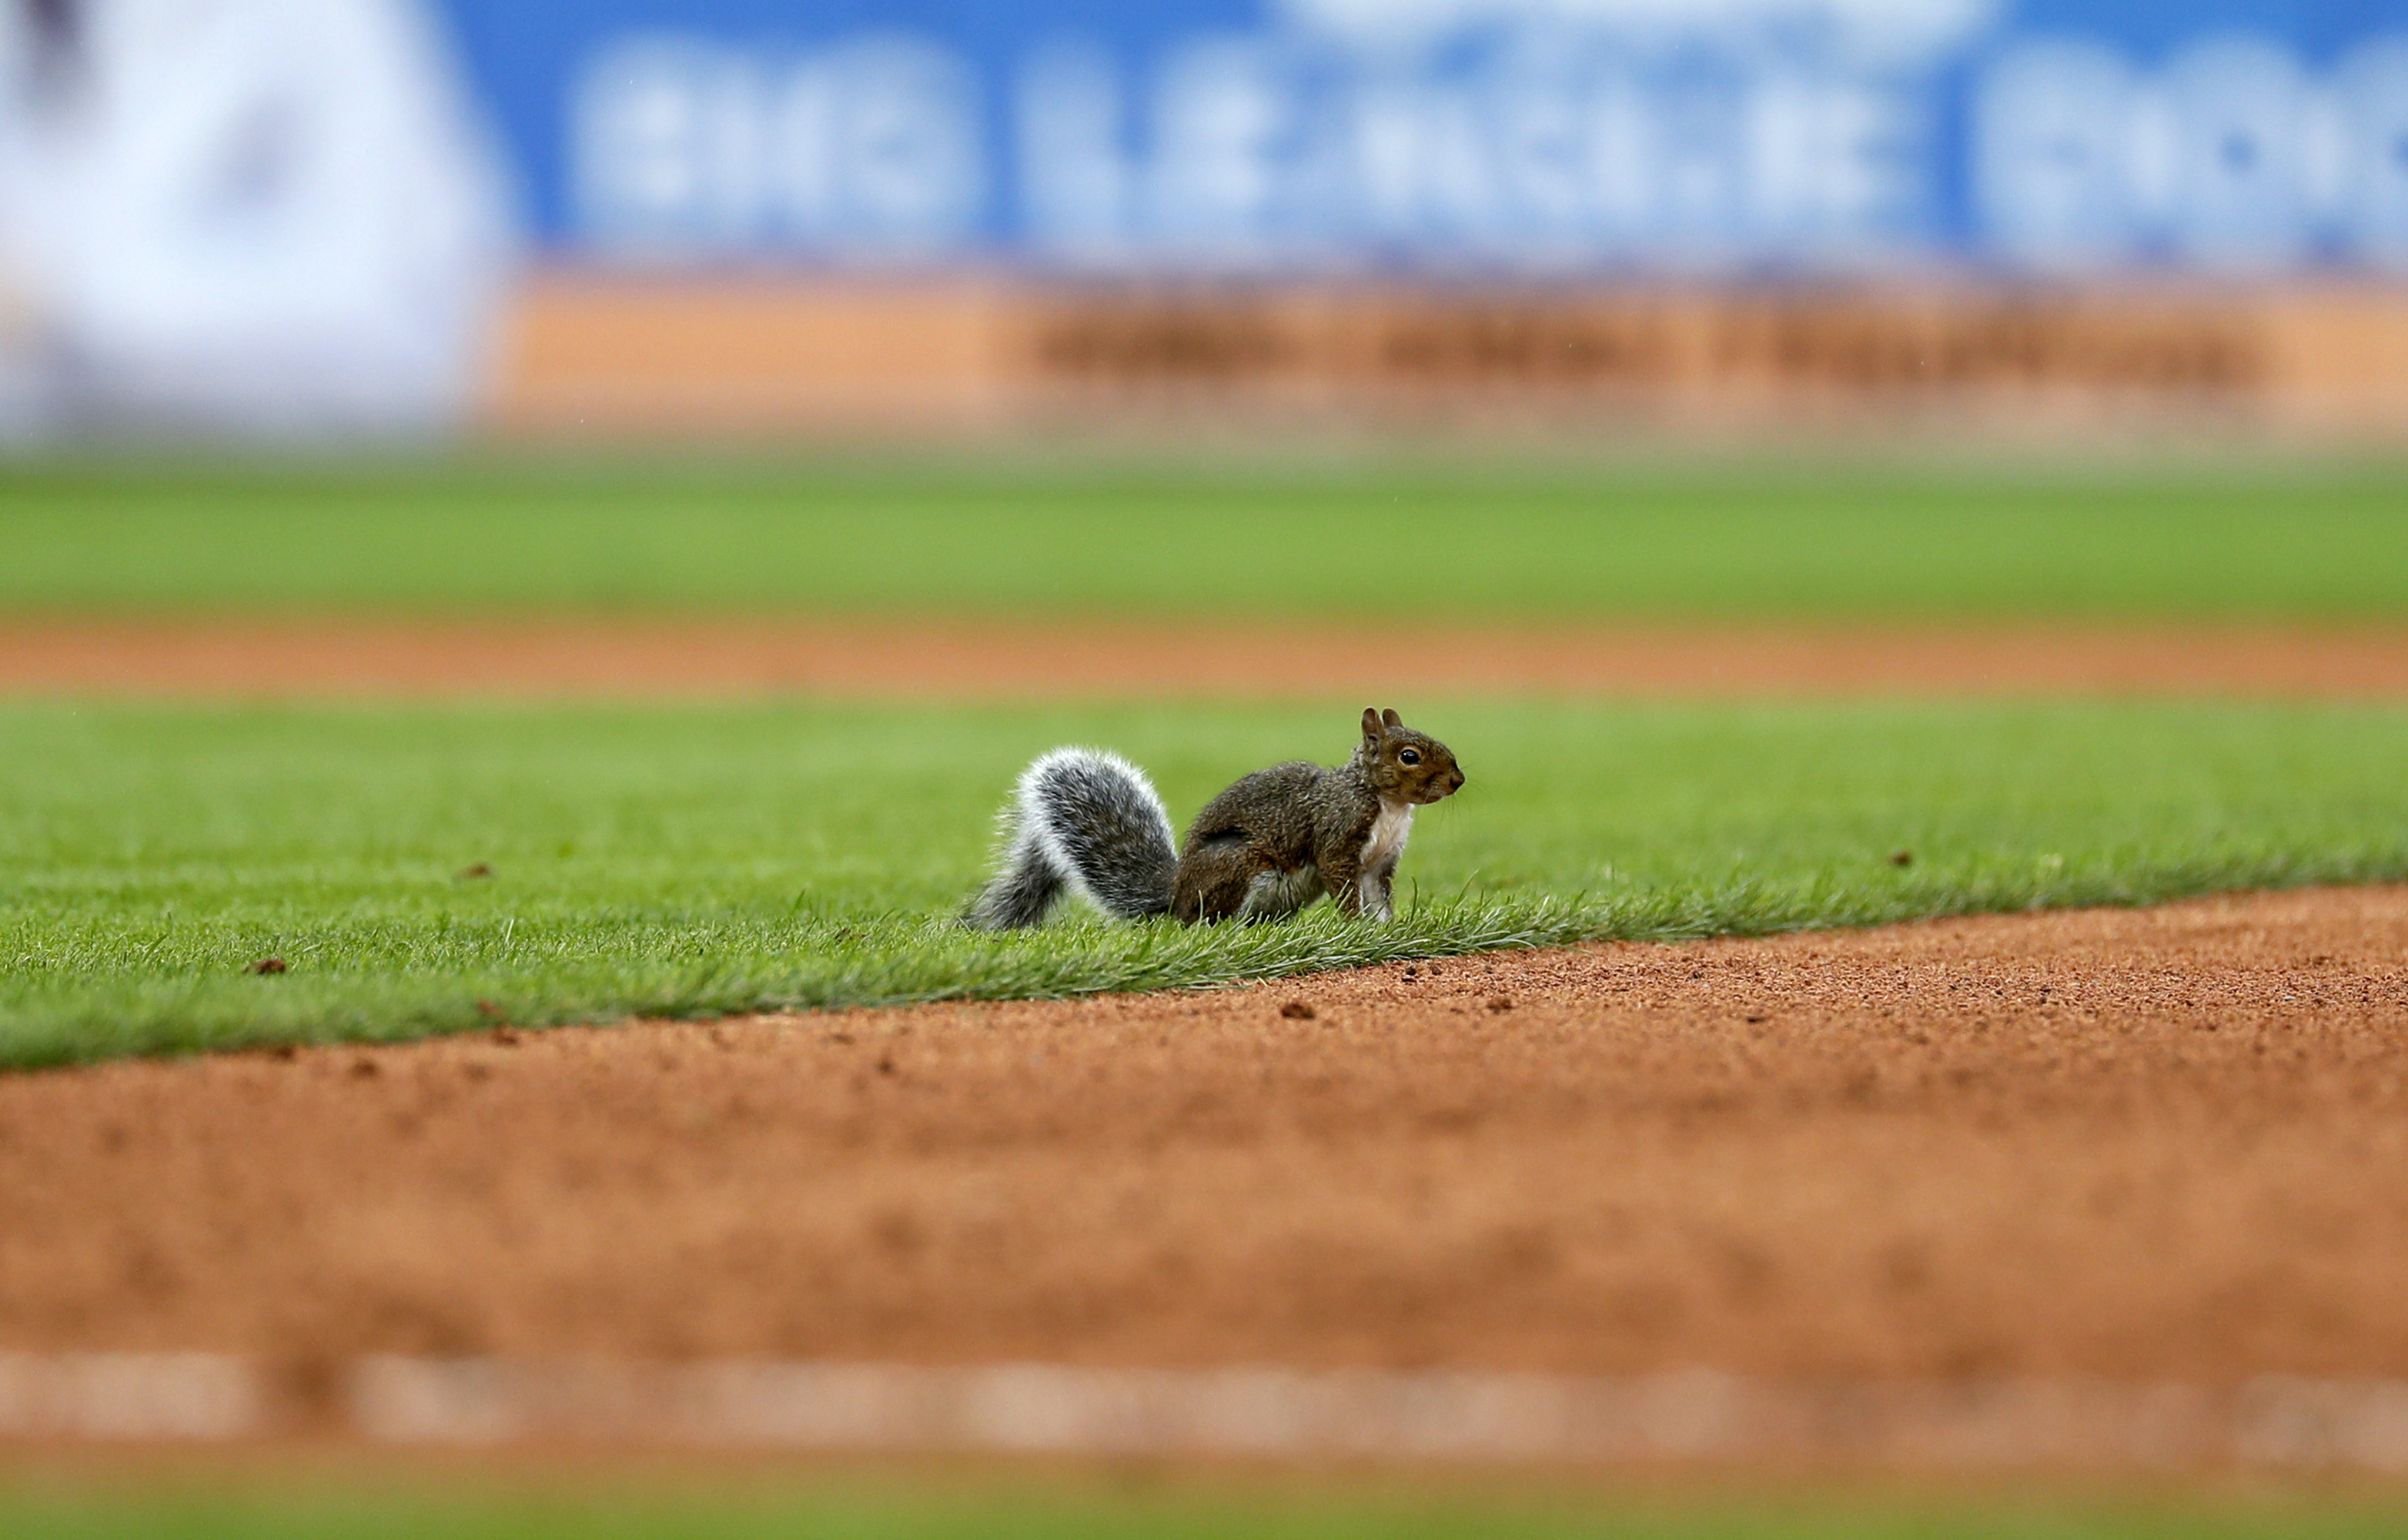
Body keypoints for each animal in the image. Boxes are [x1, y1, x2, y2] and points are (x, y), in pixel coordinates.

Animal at [968, 707, 1465, 929]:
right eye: (1409, 756)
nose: (1458, 780)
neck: (1386, 804)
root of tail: (1178, 896)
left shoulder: (1381, 862)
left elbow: (1379, 896)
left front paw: (1386, 929)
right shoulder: (1338, 839)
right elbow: (1342, 885)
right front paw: (1353, 927)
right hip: (1239, 864)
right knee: (1211, 920)